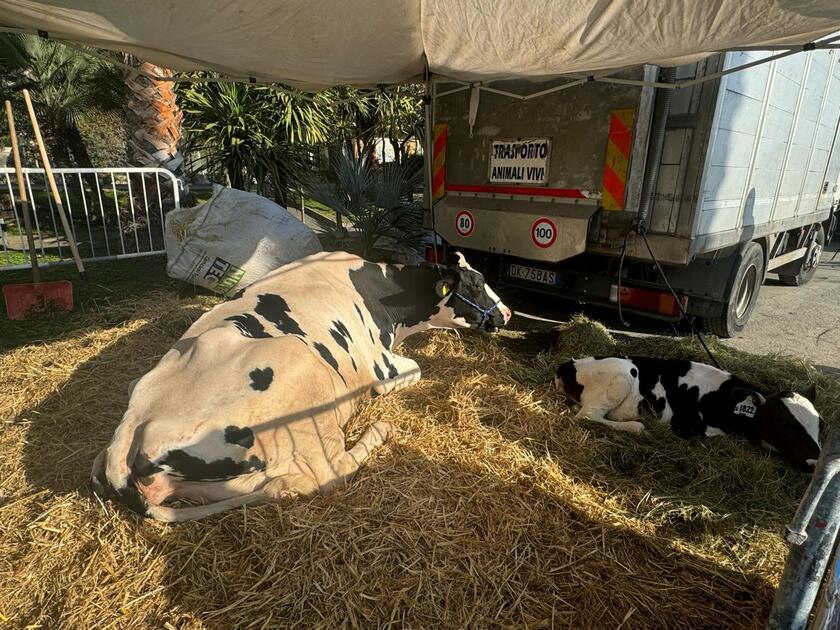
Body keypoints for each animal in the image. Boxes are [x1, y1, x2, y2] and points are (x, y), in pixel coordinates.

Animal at [92, 252, 512, 524]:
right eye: (476, 283)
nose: (507, 313)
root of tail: (134, 426)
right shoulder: (383, 367)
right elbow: (416, 369)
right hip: (304, 379)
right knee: (331, 471)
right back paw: (379, 430)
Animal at [556, 358, 824, 472]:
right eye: (785, 422)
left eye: (821, 425)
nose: (816, 462)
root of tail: (568, 364)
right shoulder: (685, 425)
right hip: (622, 376)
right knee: (587, 416)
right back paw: (636, 426)